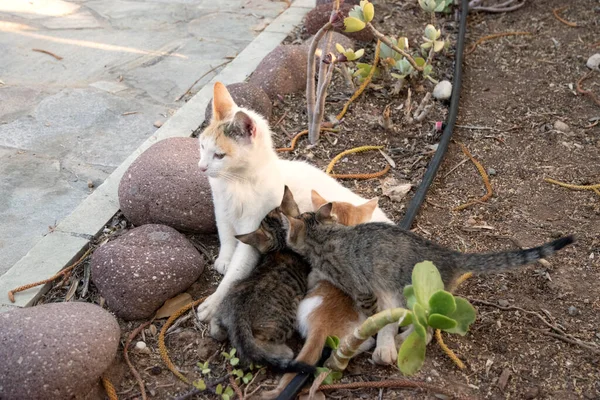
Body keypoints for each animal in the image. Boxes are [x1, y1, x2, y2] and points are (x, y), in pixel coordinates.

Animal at [198, 82, 398, 366]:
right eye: (201, 147)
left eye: (219, 155)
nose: (202, 167)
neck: (235, 184)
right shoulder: (221, 209)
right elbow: (226, 234)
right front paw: (224, 258)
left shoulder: (255, 228)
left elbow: (237, 270)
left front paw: (214, 300)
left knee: (390, 313)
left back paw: (384, 346)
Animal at [278, 205, 576, 364]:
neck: (324, 235)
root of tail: (450, 256)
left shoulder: (360, 288)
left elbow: (370, 310)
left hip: (412, 295)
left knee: (428, 330)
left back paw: (399, 339)